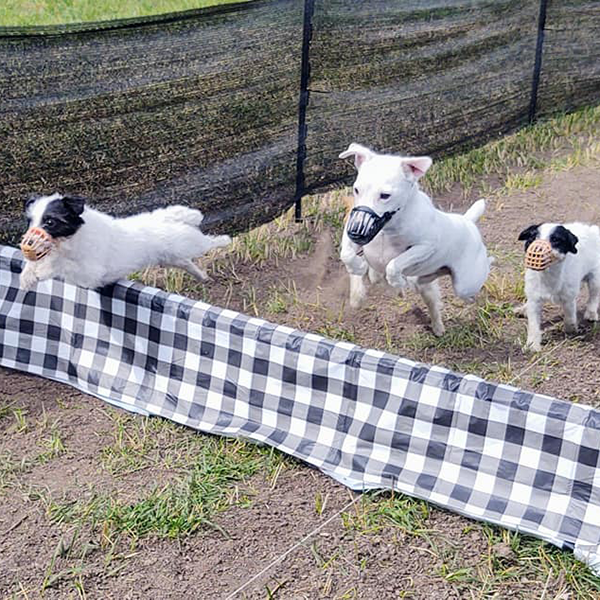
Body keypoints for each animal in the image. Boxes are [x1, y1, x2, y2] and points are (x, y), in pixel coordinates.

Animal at [18, 193, 230, 292]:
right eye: (30, 221)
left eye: (50, 222)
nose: (28, 241)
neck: (70, 240)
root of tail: (168, 218)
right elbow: (34, 263)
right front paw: (27, 277)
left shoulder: (90, 274)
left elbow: (63, 264)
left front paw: (43, 270)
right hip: (172, 257)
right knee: (187, 263)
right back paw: (203, 277)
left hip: (190, 244)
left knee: (209, 242)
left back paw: (224, 240)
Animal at [340, 143, 490, 336]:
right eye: (356, 190)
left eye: (385, 195)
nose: (356, 230)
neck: (387, 230)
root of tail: (468, 221)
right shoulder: (352, 233)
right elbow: (347, 255)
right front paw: (358, 267)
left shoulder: (425, 247)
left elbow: (394, 264)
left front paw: (396, 281)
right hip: (432, 278)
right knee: (425, 280)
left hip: (466, 284)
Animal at [516, 221, 600, 352]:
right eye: (532, 238)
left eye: (556, 240)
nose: (537, 248)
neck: (548, 275)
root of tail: (591, 229)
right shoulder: (534, 299)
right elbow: (533, 325)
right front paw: (532, 344)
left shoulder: (568, 298)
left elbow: (570, 316)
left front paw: (571, 330)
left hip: (595, 278)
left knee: (594, 296)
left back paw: (591, 313)